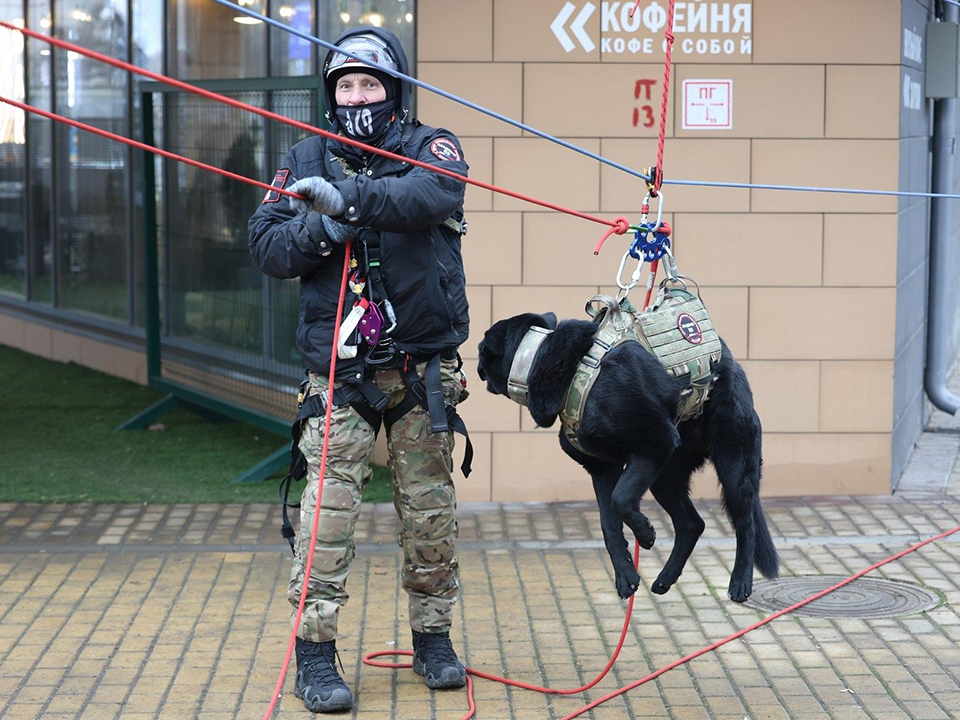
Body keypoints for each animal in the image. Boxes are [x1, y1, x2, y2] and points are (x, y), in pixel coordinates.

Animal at [478, 312, 780, 600]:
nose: (474, 368)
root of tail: (728, 359)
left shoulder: (653, 445)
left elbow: (620, 499)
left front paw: (645, 534)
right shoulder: (603, 469)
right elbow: (609, 524)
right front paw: (626, 576)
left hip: (733, 466)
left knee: (746, 523)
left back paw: (740, 582)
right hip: (665, 477)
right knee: (692, 524)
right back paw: (665, 578)